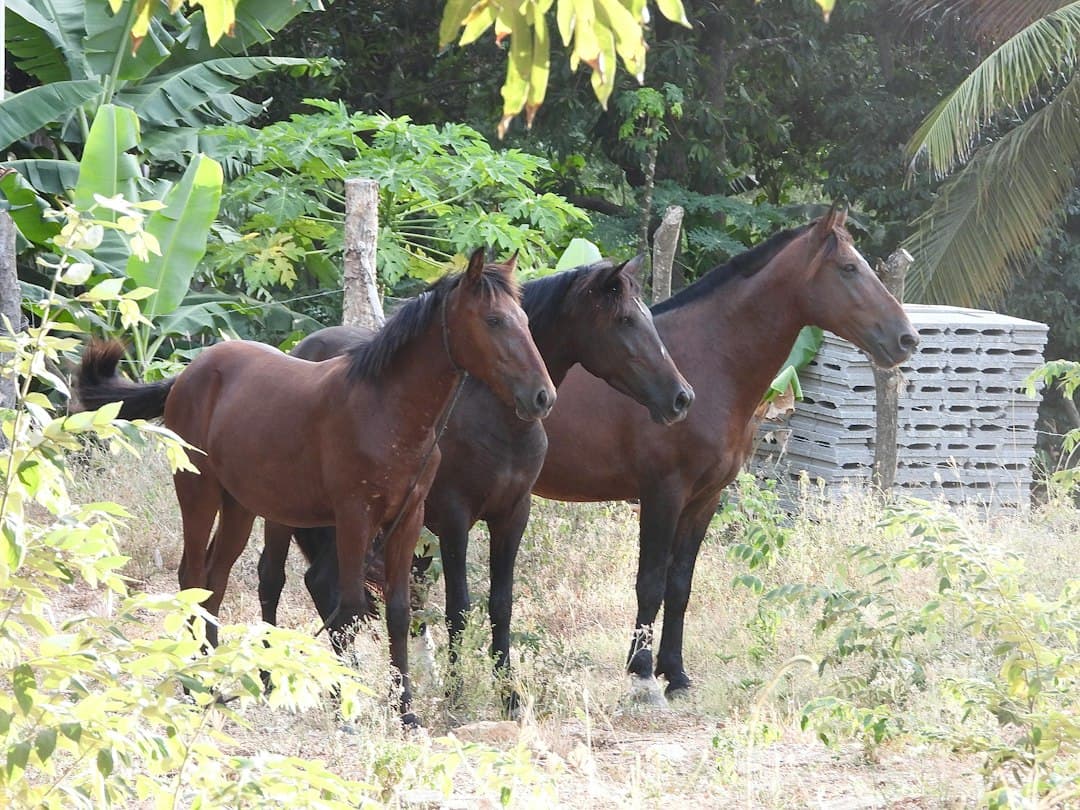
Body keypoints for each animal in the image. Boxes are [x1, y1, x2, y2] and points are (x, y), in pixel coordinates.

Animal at [74, 249, 555, 725]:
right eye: (493, 320)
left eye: (525, 319)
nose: (542, 397)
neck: (387, 410)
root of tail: (189, 375)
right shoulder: (356, 517)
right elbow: (349, 606)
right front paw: (348, 702)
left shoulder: (408, 520)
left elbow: (398, 613)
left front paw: (406, 711)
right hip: (198, 494)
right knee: (193, 576)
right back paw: (196, 685)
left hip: (241, 507)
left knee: (216, 579)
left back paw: (217, 678)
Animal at [256, 255, 695, 707]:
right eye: (625, 319)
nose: (680, 397)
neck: (493, 415)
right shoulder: (453, 520)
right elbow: (459, 607)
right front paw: (456, 692)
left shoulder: (512, 515)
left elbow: (500, 604)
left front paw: (508, 692)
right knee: (283, 580)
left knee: (324, 584)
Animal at [530, 204, 919, 699]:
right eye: (849, 268)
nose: (907, 338)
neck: (706, 363)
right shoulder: (662, 494)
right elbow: (650, 583)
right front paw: (641, 673)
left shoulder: (704, 499)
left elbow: (680, 585)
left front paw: (675, 674)